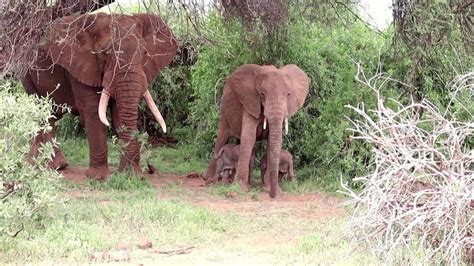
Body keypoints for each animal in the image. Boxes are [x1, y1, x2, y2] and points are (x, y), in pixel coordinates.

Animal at [22, 11, 179, 179]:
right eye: (105, 53)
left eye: (144, 53)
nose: (148, 169)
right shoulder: (80, 65)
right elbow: (93, 111)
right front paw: (98, 177)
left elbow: (119, 114)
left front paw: (130, 175)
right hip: (27, 76)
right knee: (43, 114)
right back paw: (56, 166)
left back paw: (36, 164)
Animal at [205, 64, 312, 197]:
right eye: (262, 94)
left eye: (288, 94)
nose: (273, 195)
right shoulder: (250, 103)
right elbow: (249, 138)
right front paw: (239, 190)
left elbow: (272, 142)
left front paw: (269, 189)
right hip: (224, 111)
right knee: (222, 138)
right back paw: (209, 180)